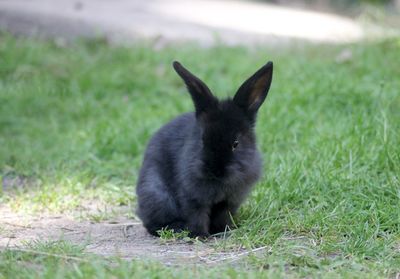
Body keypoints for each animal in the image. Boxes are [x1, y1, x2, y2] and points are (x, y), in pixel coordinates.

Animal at [137, 60, 272, 237]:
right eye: (202, 140)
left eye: (236, 143)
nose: (215, 170)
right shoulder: (192, 197)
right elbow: (196, 215)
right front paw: (199, 235)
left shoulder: (229, 201)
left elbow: (223, 215)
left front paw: (223, 231)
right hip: (157, 195)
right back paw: (176, 227)